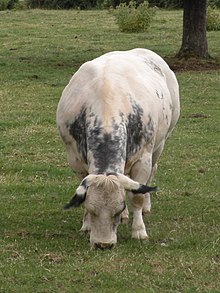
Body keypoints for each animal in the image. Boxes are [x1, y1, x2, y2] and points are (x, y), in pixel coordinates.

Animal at [55, 48, 180, 249]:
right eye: (91, 209)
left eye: (118, 207)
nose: (103, 244)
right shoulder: (75, 159)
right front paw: (86, 225)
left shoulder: (142, 158)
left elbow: (136, 196)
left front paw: (139, 231)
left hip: (160, 144)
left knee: (152, 172)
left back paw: (146, 207)